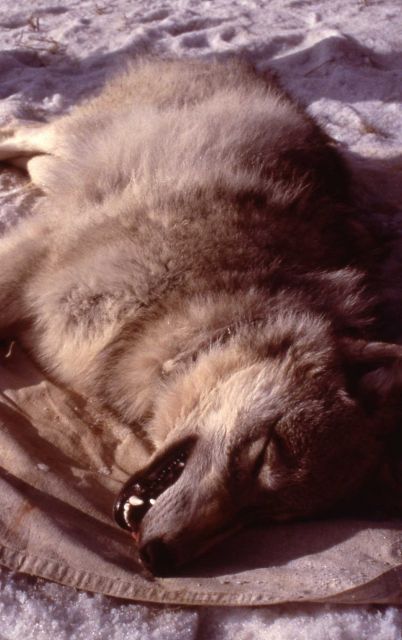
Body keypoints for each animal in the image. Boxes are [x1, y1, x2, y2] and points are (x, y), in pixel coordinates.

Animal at [0, 58, 401, 576]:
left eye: (265, 519)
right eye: (265, 455)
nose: (161, 559)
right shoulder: (37, 257)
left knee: (37, 162)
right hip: (75, 134)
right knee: (17, 130)